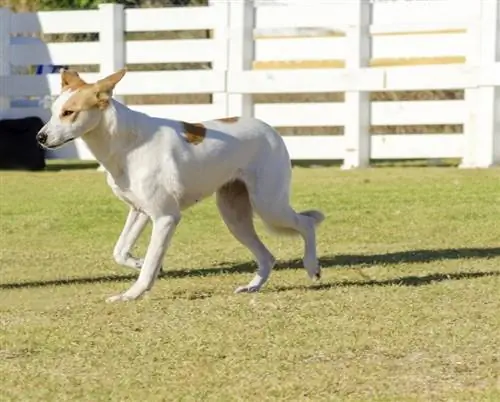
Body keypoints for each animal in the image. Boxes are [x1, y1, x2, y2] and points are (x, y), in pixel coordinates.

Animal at [35, 69, 324, 302]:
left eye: (69, 113)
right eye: (53, 112)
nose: (40, 137)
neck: (127, 143)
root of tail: (271, 129)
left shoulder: (165, 217)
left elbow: (151, 263)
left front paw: (132, 293)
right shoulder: (140, 211)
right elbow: (120, 251)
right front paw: (139, 264)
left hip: (269, 205)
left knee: (307, 223)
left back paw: (312, 266)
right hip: (234, 216)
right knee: (267, 257)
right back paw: (252, 287)